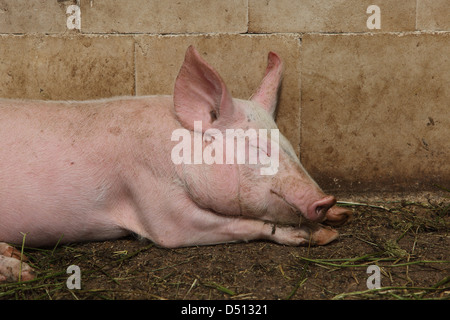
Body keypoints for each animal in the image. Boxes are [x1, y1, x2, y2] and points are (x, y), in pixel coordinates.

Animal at [0, 46, 352, 282]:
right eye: (257, 147)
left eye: (289, 146)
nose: (326, 199)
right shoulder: (151, 196)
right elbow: (205, 227)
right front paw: (323, 235)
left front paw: (341, 217)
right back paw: (25, 272)